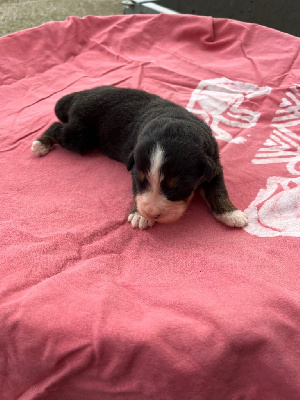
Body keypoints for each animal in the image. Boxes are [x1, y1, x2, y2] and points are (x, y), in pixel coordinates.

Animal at [31, 86, 248, 230]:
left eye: (177, 187)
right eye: (142, 180)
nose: (152, 213)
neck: (175, 122)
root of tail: (82, 93)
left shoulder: (214, 164)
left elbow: (218, 189)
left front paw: (231, 213)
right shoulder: (134, 166)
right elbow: (136, 191)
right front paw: (139, 216)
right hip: (80, 136)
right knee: (57, 127)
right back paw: (41, 143)